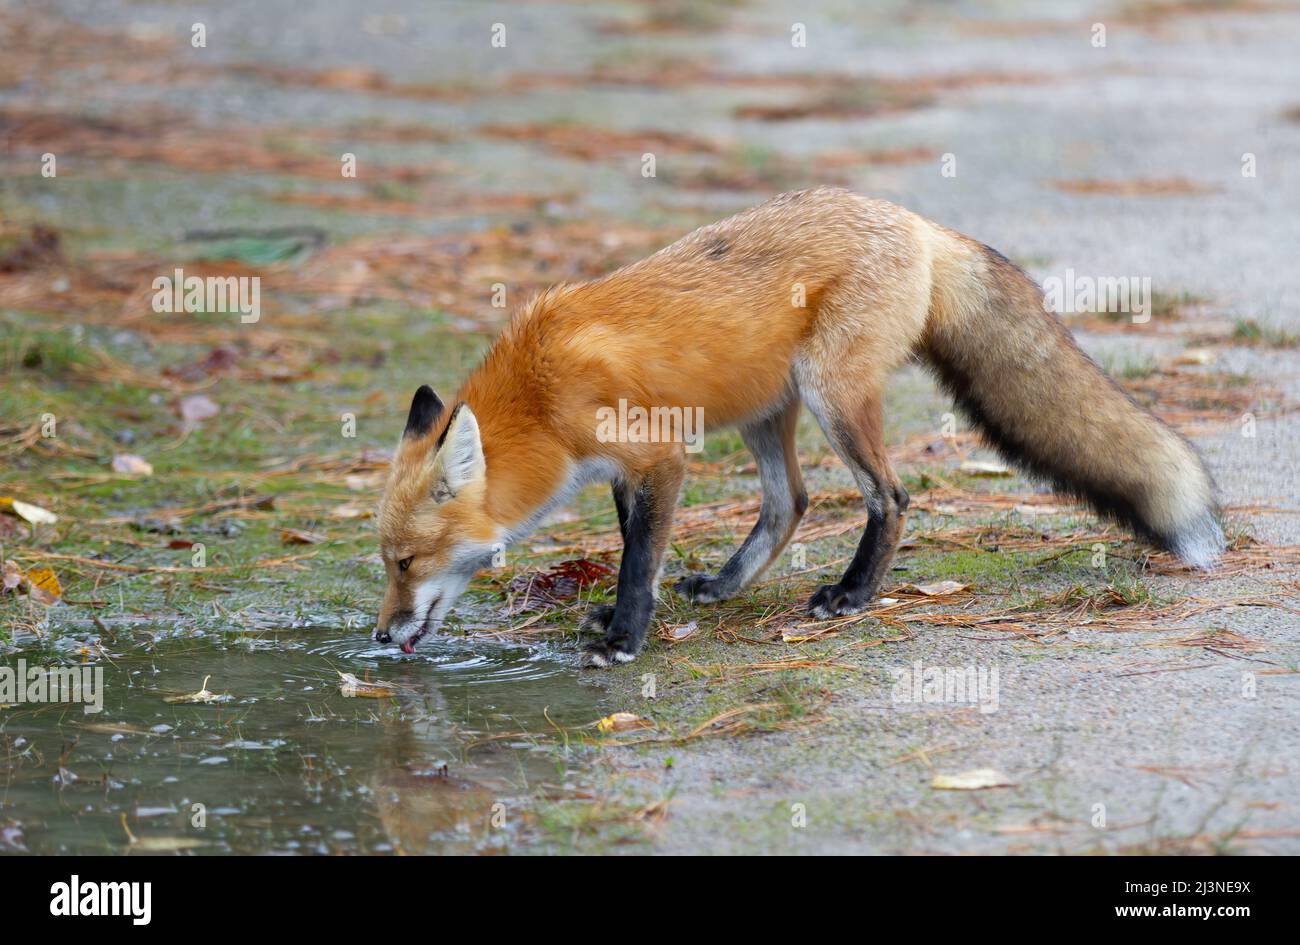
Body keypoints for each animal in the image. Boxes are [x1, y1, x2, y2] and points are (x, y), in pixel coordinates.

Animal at [373, 187, 1223, 666]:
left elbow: (637, 562)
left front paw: (622, 639)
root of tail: (915, 222)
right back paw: (727, 583)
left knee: (889, 497)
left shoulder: (657, 456)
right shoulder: (625, 471)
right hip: (767, 412)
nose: (380, 637)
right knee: (792, 503)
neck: (540, 392)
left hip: (830, 395)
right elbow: (637, 553)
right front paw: (619, 617)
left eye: (407, 561)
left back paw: (852, 594)